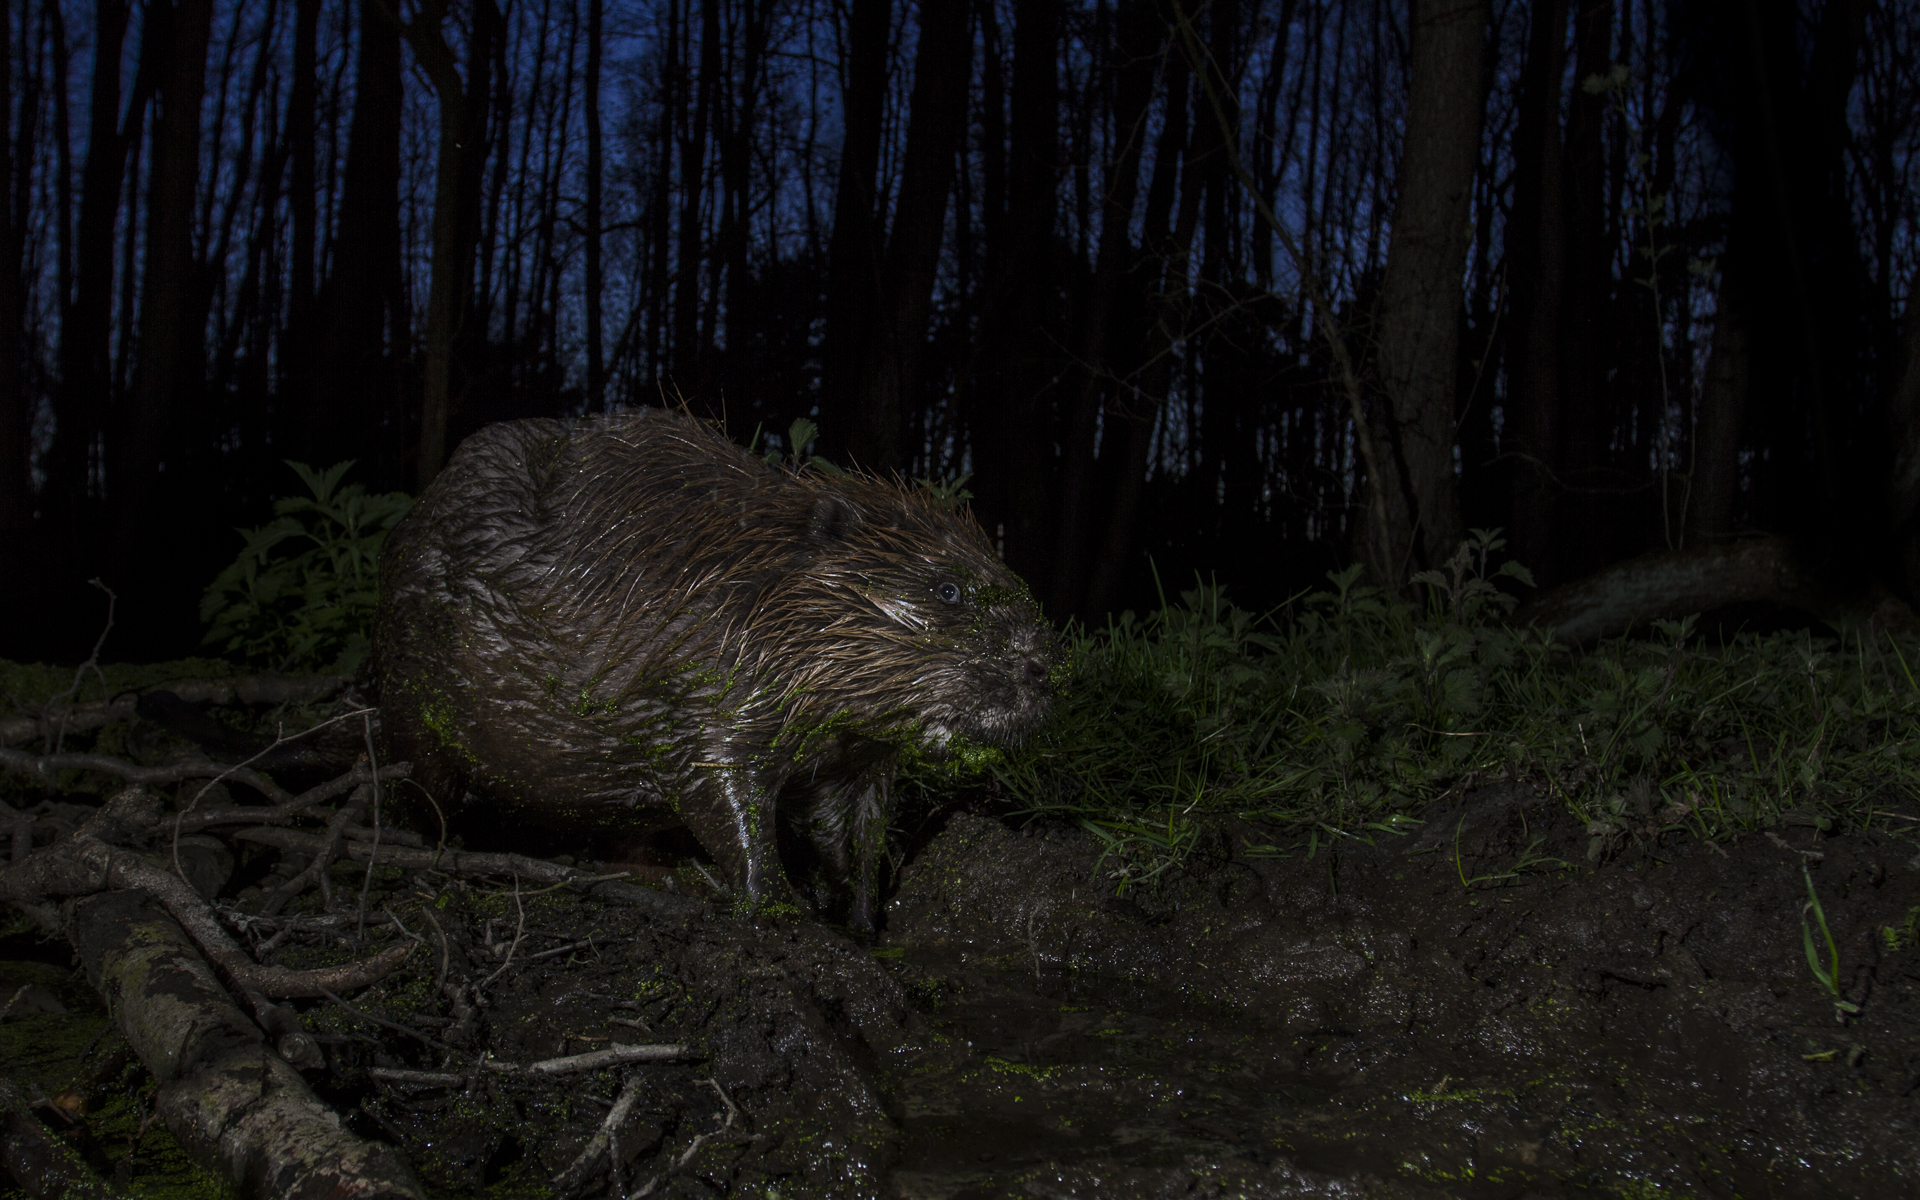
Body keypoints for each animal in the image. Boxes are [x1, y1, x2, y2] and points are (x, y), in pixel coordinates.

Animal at [370, 405, 1067, 925]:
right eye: (947, 590)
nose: (1042, 671)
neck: (755, 586)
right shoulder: (708, 681)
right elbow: (722, 790)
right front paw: (780, 910)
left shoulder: (856, 752)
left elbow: (853, 830)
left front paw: (864, 919)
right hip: (408, 688)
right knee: (421, 782)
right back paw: (442, 848)